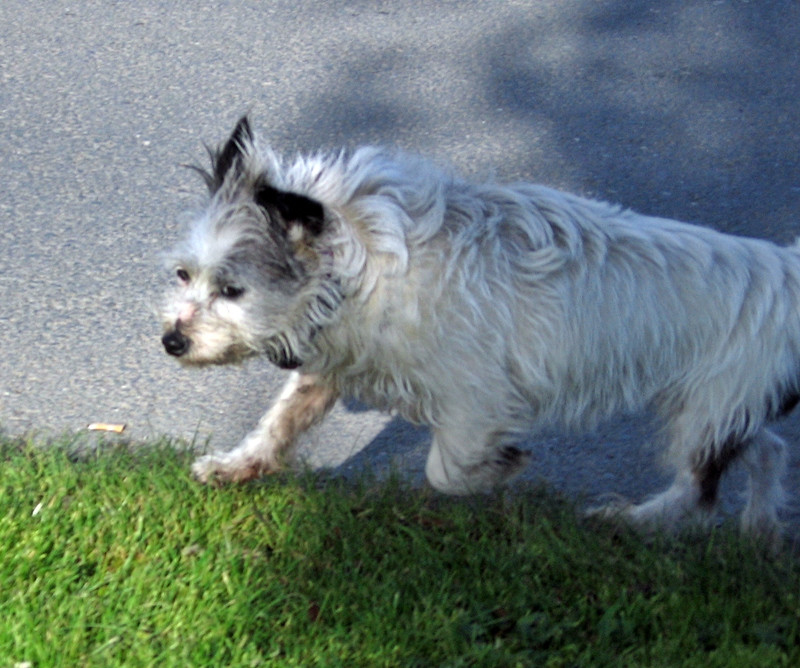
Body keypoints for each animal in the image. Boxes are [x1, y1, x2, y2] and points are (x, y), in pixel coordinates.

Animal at [161, 116, 792, 544]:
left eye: (232, 290)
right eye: (184, 274)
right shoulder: (333, 362)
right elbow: (279, 422)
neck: (360, 265)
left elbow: (445, 471)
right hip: (714, 406)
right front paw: (235, 465)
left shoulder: (477, 401)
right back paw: (760, 532)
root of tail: (785, 269)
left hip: (702, 411)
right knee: (766, 450)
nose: (172, 341)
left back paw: (631, 520)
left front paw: (498, 471)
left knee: (697, 492)